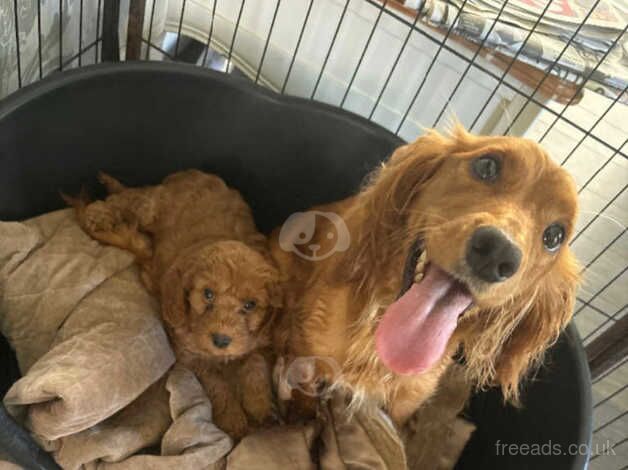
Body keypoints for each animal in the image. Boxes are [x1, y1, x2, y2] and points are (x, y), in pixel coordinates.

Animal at [67, 170, 280, 440]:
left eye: (250, 305)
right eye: (207, 294)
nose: (221, 341)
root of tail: (190, 173)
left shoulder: (263, 341)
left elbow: (255, 365)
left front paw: (259, 406)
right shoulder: (191, 357)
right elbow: (218, 385)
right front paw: (232, 419)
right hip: (151, 207)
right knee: (127, 198)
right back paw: (98, 213)